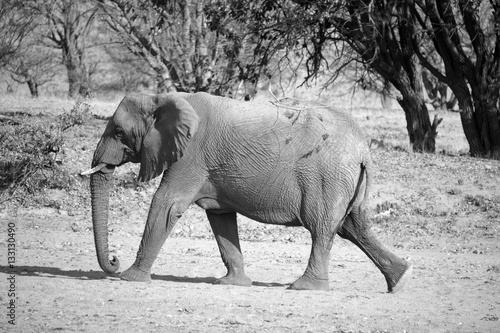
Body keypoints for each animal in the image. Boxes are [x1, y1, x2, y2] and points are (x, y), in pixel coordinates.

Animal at [80, 91, 412, 290]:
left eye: (118, 132)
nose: (114, 262)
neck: (164, 98)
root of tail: (364, 149)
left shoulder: (191, 155)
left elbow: (167, 204)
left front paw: (130, 278)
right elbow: (221, 218)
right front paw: (232, 283)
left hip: (326, 177)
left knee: (322, 228)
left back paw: (303, 287)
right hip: (345, 180)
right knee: (353, 227)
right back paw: (399, 279)